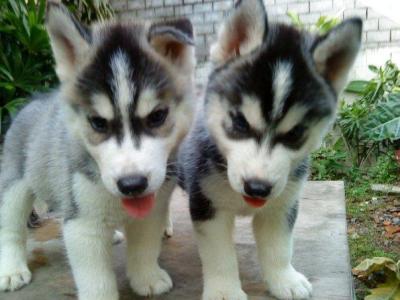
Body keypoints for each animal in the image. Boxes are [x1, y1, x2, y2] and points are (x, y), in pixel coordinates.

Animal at [0, 1, 195, 298]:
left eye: (157, 116)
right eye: (98, 122)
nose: (132, 184)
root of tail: (32, 100)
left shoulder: (152, 210)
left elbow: (145, 248)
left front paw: (147, 277)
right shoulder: (81, 224)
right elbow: (96, 277)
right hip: (15, 185)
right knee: (10, 226)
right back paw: (11, 270)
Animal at [178, 0, 362, 300]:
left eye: (296, 133)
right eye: (240, 122)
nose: (257, 188)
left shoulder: (282, 205)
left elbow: (279, 249)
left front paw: (284, 280)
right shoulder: (208, 205)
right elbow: (219, 257)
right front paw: (225, 291)